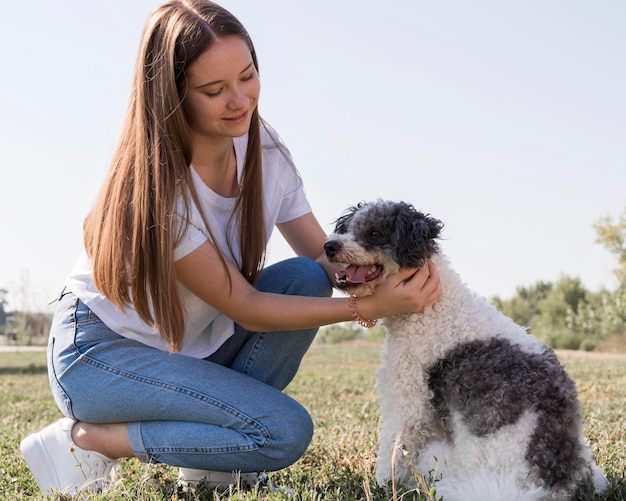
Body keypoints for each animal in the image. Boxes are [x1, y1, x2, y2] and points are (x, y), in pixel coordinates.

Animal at [324, 200, 608, 500]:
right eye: (347, 228)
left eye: (375, 233)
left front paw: (382, 486)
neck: (434, 307)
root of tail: (553, 483)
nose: (329, 246)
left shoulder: (410, 407)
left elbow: (393, 453)